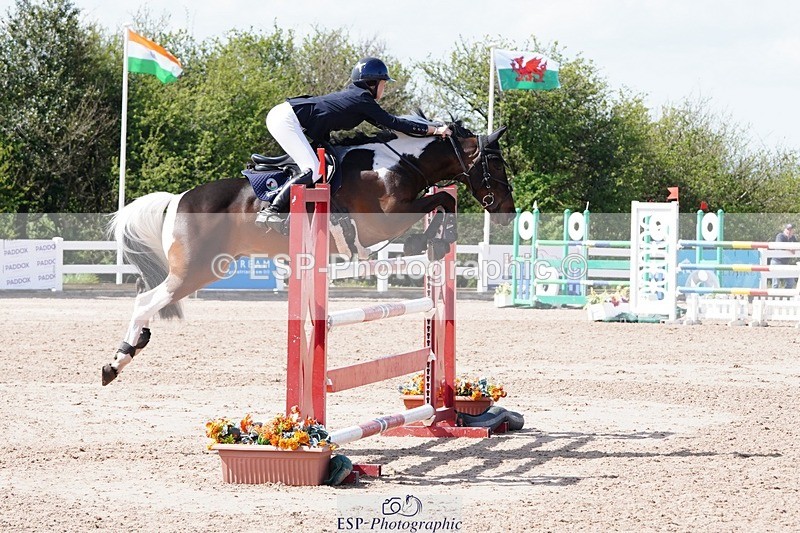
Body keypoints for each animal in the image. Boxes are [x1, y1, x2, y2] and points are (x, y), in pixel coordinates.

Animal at [101, 119, 516, 385]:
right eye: (495, 162)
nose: (508, 211)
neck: (397, 165)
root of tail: (178, 199)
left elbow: (443, 201)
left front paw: (433, 241)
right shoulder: (381, 221)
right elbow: (445, 199)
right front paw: (429, 240)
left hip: (207, 270)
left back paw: (131, 349)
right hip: (194, 270)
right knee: (145, 301)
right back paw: (116, 361)